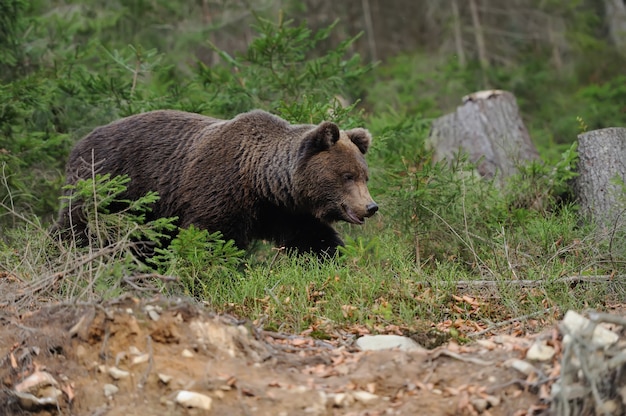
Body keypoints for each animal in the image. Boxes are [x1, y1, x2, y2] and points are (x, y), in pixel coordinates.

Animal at [52, 109, 376, 255]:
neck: (260, 181)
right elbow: (210, 237)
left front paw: (333, 258)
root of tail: (77, 144)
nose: (371, 207)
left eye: (364, 175)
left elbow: (313, 238)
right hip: (109, 186)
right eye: (347, 176)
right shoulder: (219, 190)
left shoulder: (284, 211)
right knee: (77, 226)